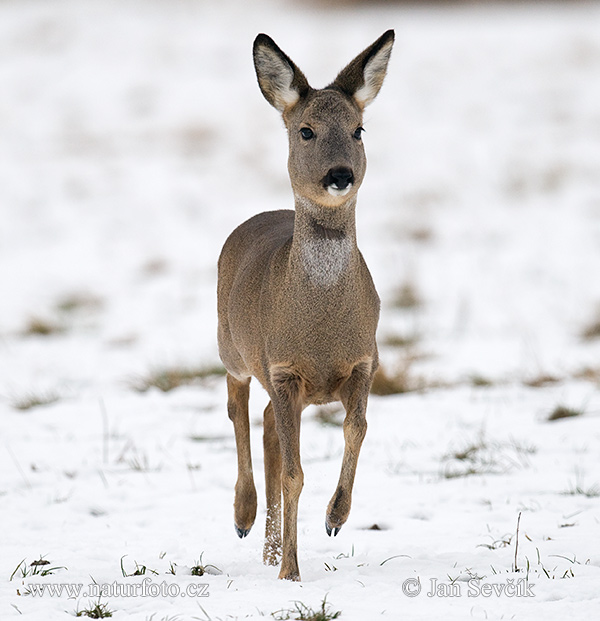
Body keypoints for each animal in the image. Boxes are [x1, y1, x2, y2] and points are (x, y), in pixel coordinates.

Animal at [216, 29, 394, 580]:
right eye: (307, 131)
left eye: (359, 130)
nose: (340, 174)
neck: (321, 329)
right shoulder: (282, 366)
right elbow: (294, 473)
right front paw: (291, 574)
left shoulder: (365, 358)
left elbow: (358, 429)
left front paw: (335, 517)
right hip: (231, 347)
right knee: (237, 409)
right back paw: (243, 518)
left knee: (269, 428)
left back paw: (270, 546)